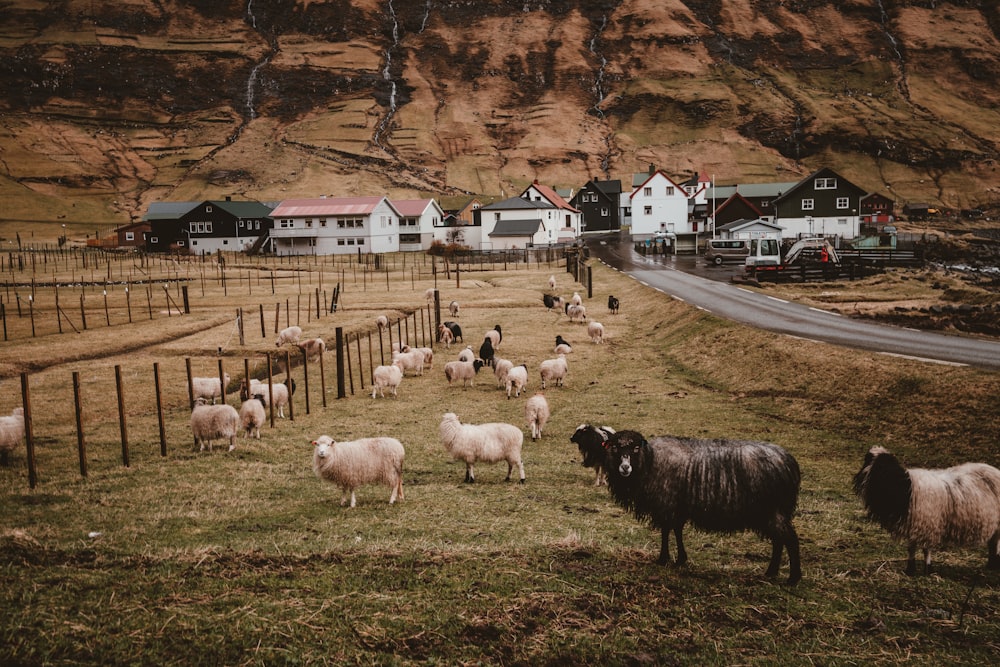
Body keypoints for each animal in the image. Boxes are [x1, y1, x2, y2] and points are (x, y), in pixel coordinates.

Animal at [600, 428, 804, 584]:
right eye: (615, 447)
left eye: (635, 448)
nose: (625, 468)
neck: (650, 461)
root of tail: (789, 462)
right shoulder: (678, 506)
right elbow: (677, 530)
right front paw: (680, 559)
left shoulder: (666, 503)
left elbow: (666, 531)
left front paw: (663, 559)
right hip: (769, 512)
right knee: (779, 540)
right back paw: (771, 572)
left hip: (773, 510)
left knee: (790, 540)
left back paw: (792, 579)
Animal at [852, 446, 1000, 576]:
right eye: (867, 459)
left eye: (874, 462)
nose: (858, 478)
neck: (905, 487)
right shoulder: (915, 524)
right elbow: (911, 547)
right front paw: (910, 569)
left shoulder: (928, 524)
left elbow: (926, 549)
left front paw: (927, 569)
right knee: (993, 542)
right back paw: (991, 564)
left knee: (996, 541)